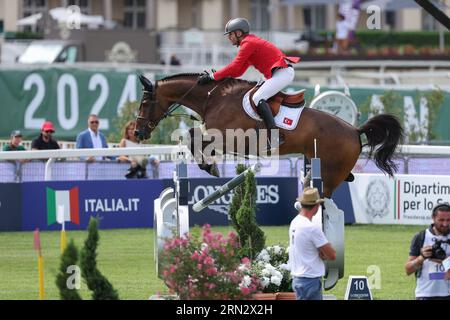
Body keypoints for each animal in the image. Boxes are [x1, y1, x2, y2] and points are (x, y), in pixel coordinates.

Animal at [134, 74, 404, 199]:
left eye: (145, 102)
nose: (138, 132)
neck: (213, 99)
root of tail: (354, 130)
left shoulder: (229, 137)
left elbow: (194, 136)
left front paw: (210, 167)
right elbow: (194, 136)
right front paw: (209, 165)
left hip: (330, 174)